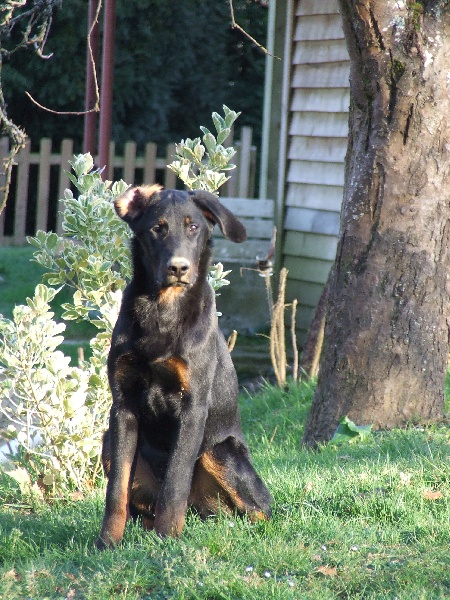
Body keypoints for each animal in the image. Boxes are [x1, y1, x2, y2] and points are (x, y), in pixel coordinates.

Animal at [96, 185, 272, 548]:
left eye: (193, 228)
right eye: (156, 228)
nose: (179, 267)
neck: (163, 310)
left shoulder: (192, 406)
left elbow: (175, 483)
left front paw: (166, 541)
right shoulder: (123, 405)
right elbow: (116, 489)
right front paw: (106, 543)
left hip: (221, 452)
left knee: (261, 510)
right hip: (108, 440)